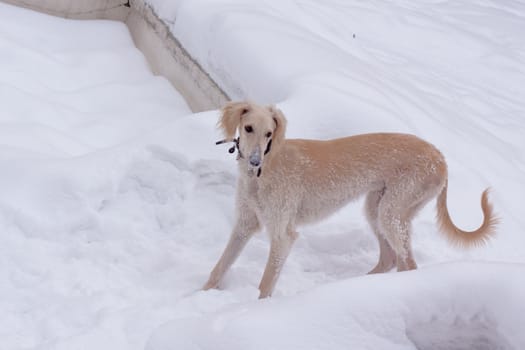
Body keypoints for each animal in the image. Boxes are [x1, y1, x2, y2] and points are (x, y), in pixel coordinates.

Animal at [203, 100, 498, 298]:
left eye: (269, 133)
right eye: (248, 127)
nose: (255, 161)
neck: (263, 173)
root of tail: (440, 158)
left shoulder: (283, 234)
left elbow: (265, 284)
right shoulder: (245, 224)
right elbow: (219, 267)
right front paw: (200, 295)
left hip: (393, 210)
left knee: (408, 264)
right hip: (377, 206)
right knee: (390, 259)